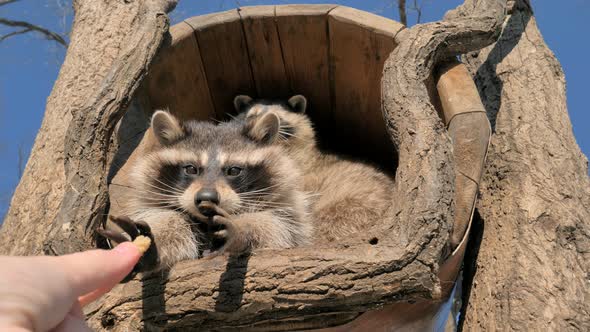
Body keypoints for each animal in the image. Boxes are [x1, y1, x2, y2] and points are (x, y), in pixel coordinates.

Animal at [99, 111, 312, 272]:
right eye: (191, 169)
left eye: (233, 170)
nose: (206, 198)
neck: (205, 221)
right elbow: (170, 222)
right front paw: (151, 246)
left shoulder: (289, 215)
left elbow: (276, 229)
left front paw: (242, 229)